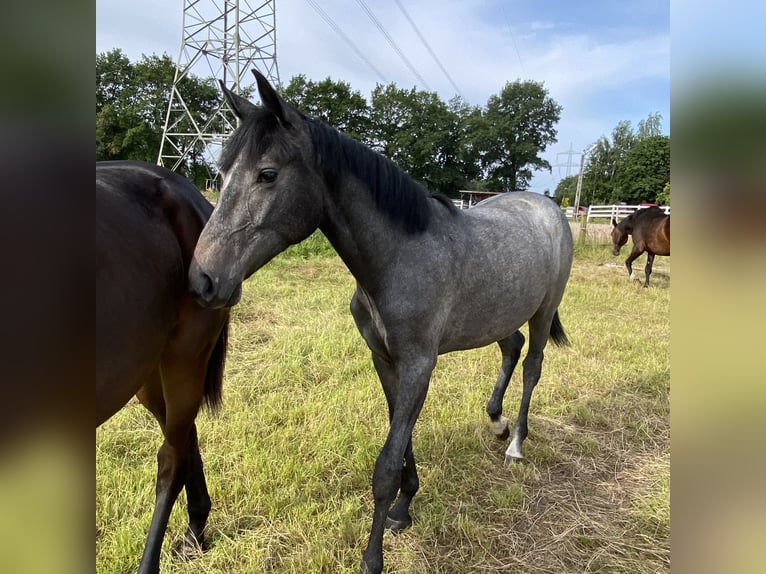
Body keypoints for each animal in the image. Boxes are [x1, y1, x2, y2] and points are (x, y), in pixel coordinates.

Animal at [186, 72, 572, 574]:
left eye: (267, 174)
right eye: (221, 174)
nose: (202, 279)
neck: (398, 257)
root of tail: (549, 207)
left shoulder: (418, 365)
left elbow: (386, 463)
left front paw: (373, 556)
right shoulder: (385, 360)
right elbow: (400, 438)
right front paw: (404, 508)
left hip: (544, 311)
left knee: (532, 366)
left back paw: (516, 444)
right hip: (501, 314)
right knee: (512, 348)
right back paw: (497, 423)